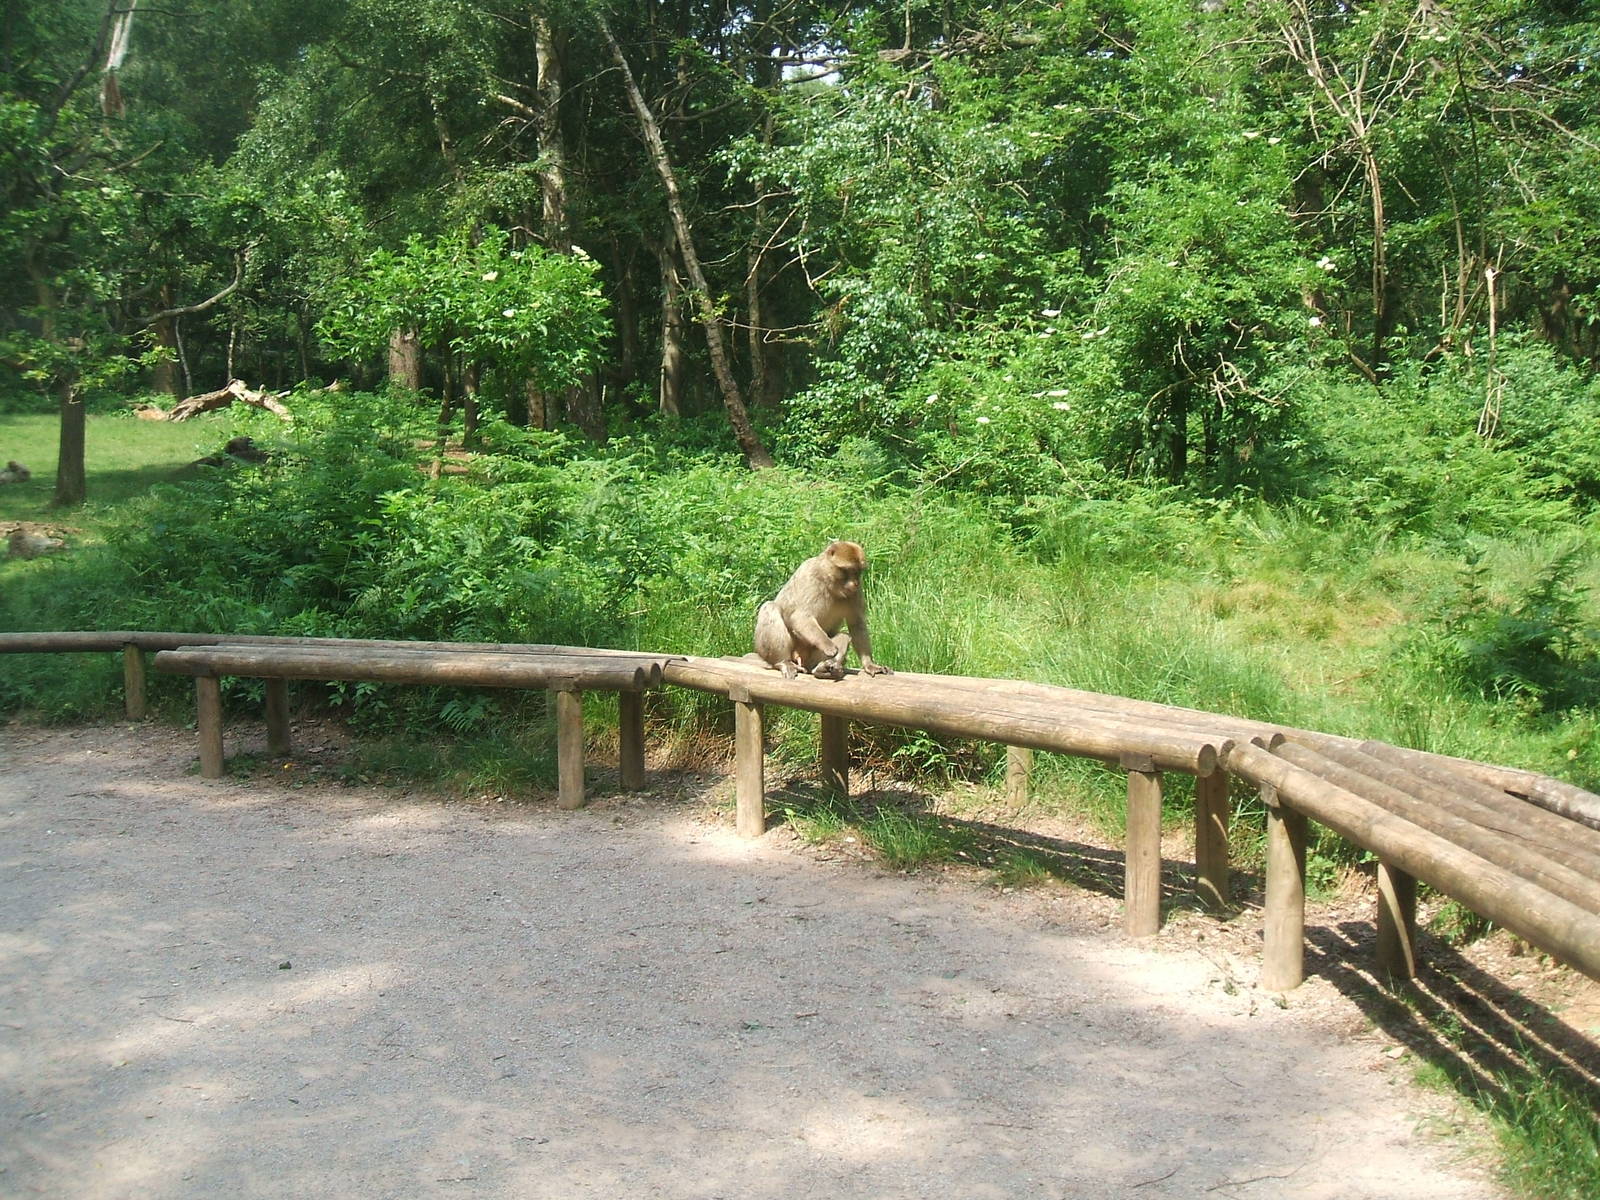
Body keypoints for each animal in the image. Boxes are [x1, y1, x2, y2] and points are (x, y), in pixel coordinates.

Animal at [754, 540, 892, 681]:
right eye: (849, 570)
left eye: (858, 571)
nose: (855, 582)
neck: (828, 581)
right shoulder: (809, 575)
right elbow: (800, 617)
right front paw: (827, 645)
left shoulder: (855, 592)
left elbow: (857, 624)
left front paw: (869, 664)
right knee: (769, 607)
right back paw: (783, 662)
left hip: (810, 660)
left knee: (844, 636)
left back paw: (822, 669)